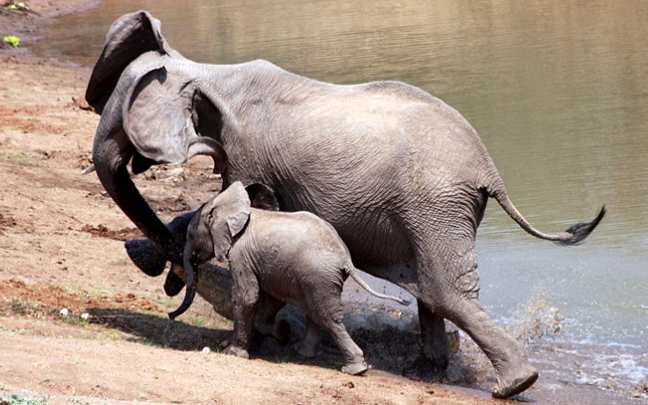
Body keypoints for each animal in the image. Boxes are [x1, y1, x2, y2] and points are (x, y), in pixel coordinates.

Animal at [174, 181, 410, 375]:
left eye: (190, 236)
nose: (170, 314)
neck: (231, 206)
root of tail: (346, 259)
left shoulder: (241, 254)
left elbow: (247, 296)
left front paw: (233, 353)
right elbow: (270, 298)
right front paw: (280, 332)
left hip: (318, 276)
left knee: (326, 315)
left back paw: (355, 370)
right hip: (314, 278)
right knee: (315, 311)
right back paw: (304, 353)